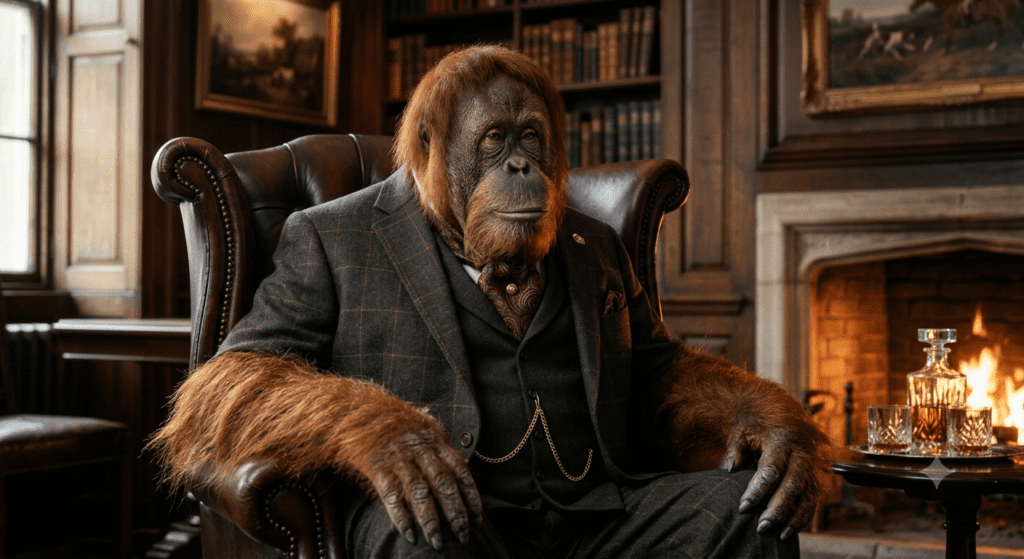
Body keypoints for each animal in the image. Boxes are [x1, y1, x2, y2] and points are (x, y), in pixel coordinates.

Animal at [148, 45, 832, 558]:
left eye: (531, 135)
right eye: (495, 139)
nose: (523, 166)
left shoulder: (612, 260)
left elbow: (653, 368)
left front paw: (777, 433)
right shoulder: (305, 257)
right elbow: (248, 364)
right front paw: (399, 441)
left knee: (729, 510)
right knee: (408, 524)